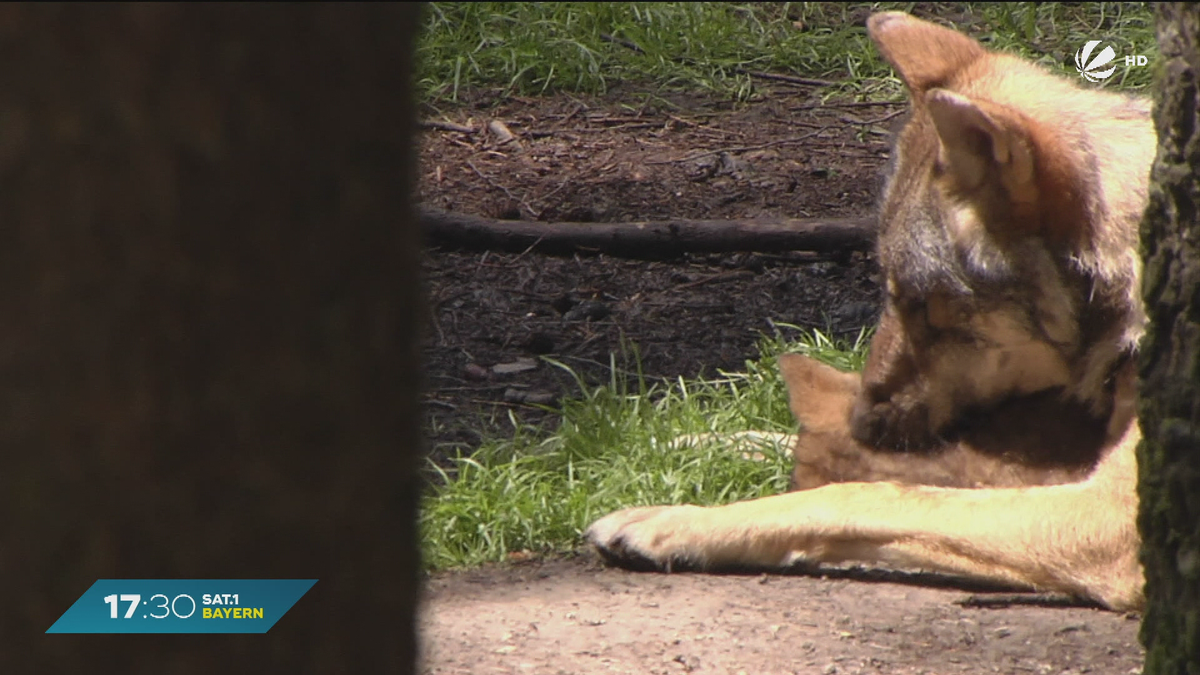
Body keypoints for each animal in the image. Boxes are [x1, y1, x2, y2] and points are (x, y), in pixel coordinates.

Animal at [585, 10, 1156, 610]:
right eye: (886, 292)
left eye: (921, 306)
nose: (861, 419)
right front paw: (669, 442)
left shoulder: (1111, 516)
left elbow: (859, 493)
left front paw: (670, 521)